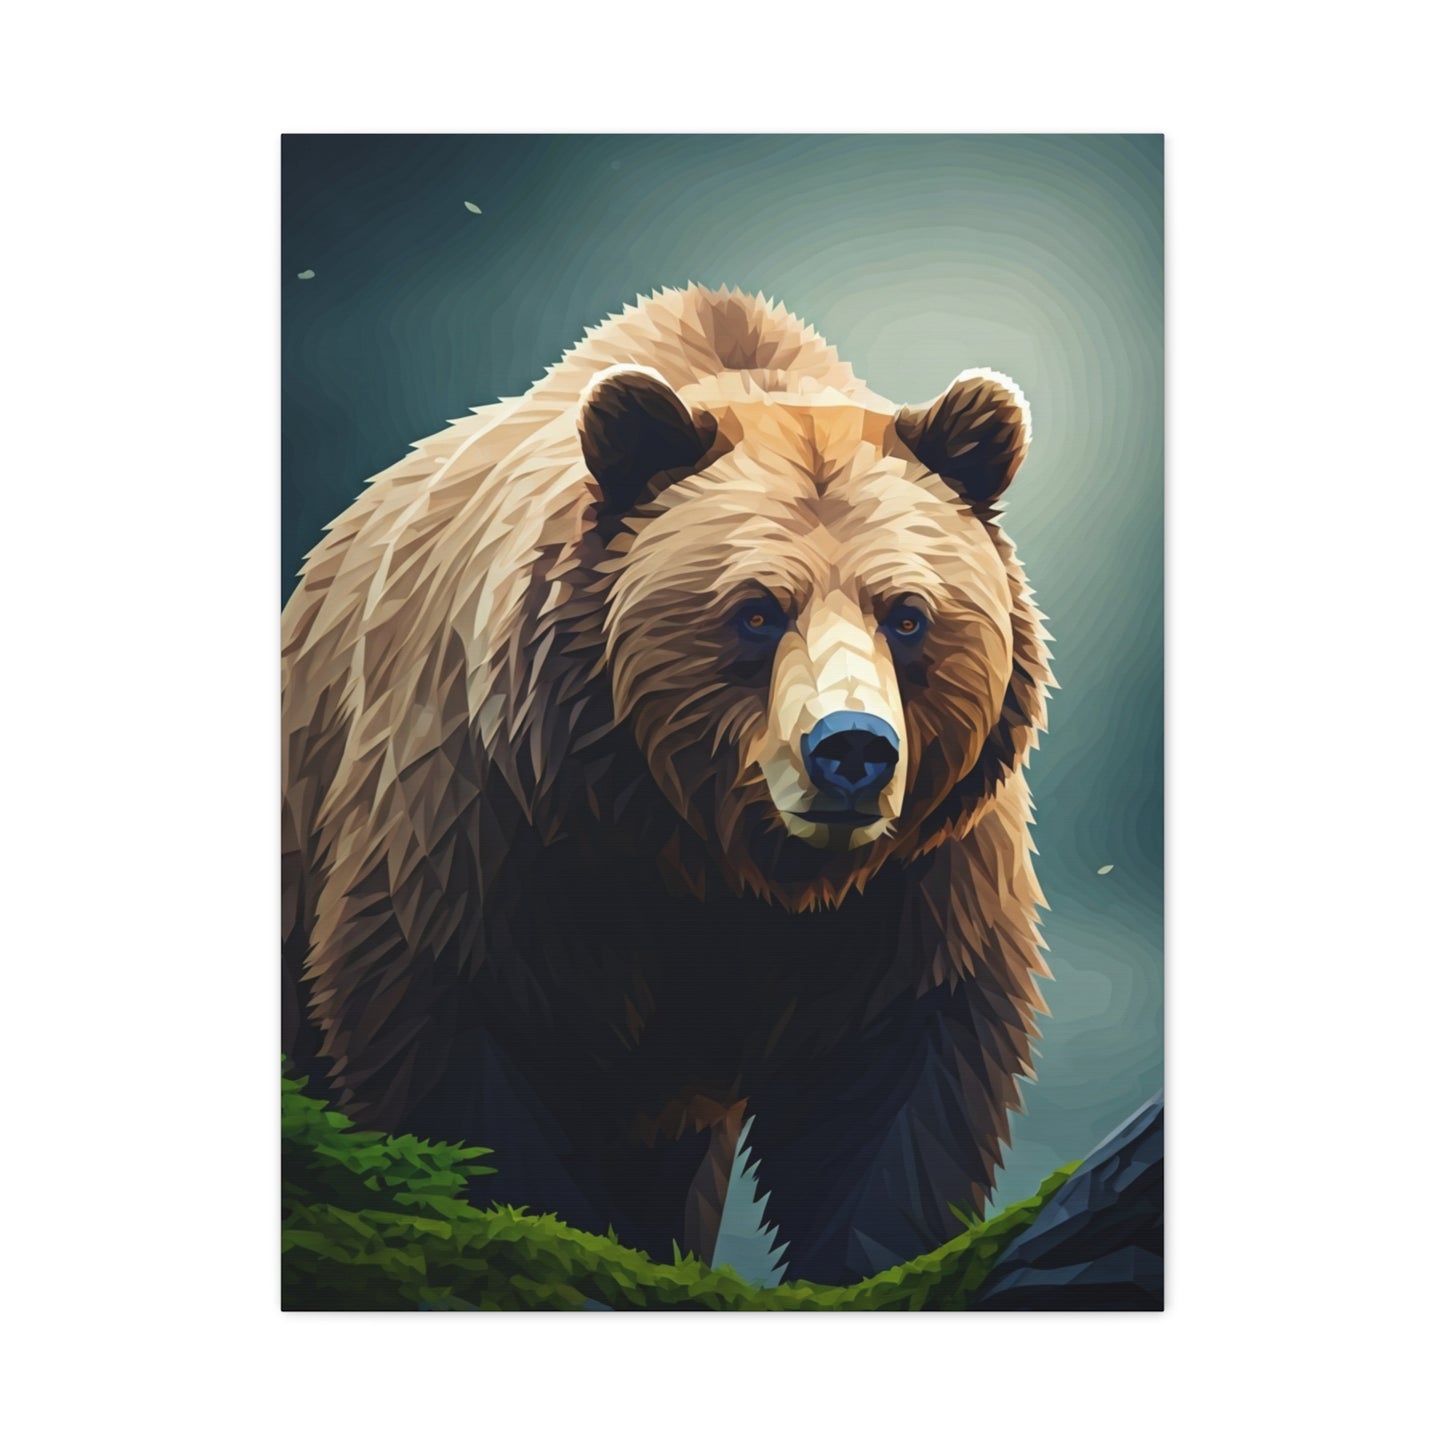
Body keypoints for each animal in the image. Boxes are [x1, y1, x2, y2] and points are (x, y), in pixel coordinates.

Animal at [282, 285, 1052, 1286]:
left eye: (908, 614)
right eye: (756, 610)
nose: (851, 748)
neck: (708, 854)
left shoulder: (919, 877)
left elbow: (900, 1088)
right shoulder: (490, 820)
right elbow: (457, 1039)